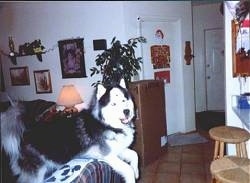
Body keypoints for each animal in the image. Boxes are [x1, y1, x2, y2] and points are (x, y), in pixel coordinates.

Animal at [0, 79, 139, 183]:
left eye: (124, 101)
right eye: (114, 104)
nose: (127, 111)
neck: (106, 124)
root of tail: (25, 133)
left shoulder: (117, 150)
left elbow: (134, 154)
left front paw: (137, 172)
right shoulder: (107, 155)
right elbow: (128, 169)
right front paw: (133, 175)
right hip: (36, 173)